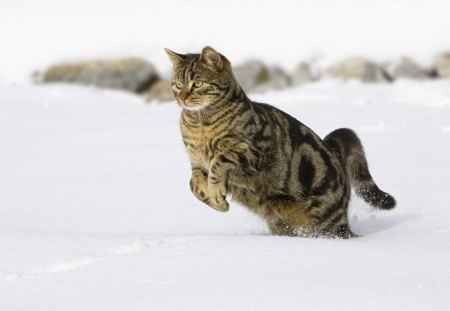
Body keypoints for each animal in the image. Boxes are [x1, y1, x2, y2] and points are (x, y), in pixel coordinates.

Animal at [164, 45, 394, 239]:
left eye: (198, 83)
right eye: (177, 84)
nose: (181, 98)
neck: (199, 124)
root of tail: (335, 152)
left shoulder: (254, 151)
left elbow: (219, 161)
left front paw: (216, 192)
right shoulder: (196, 161)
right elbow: (193, 183)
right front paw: (216, 202)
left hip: (327, 224)